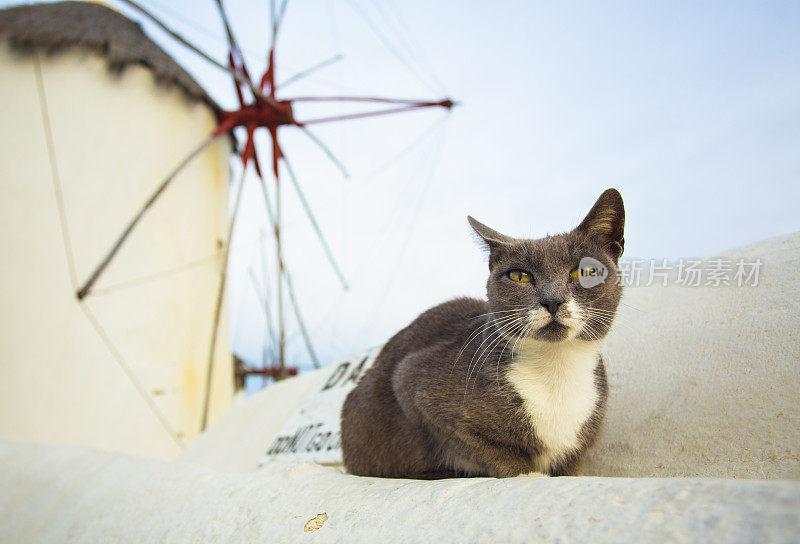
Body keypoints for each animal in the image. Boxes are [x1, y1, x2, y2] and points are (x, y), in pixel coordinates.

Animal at [338, 189, 624, 478]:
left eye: (584, 270)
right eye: (519, 276)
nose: (552, 300)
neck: (556, 365)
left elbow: (573, 465)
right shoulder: (413, 381)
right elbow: (481, 445)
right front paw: (526, 473)